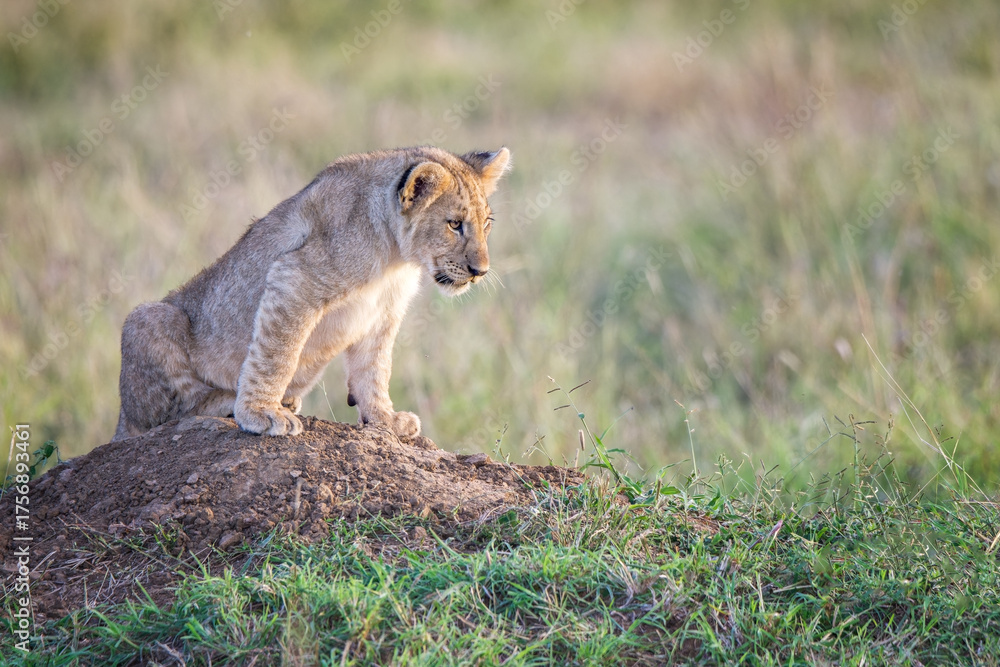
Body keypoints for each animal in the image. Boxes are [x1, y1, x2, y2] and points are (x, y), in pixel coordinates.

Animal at [112, 146, 511, 441]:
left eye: (487, 223)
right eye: (454, 224)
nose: (480, 272)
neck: (395, 258)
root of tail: (119, 422)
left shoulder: (383, 313)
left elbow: (374, 369)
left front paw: (386, 420)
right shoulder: (294, 277)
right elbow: (278, 354)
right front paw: (261, 413)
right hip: (147, 318)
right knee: (170, 414)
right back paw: (238, 400)